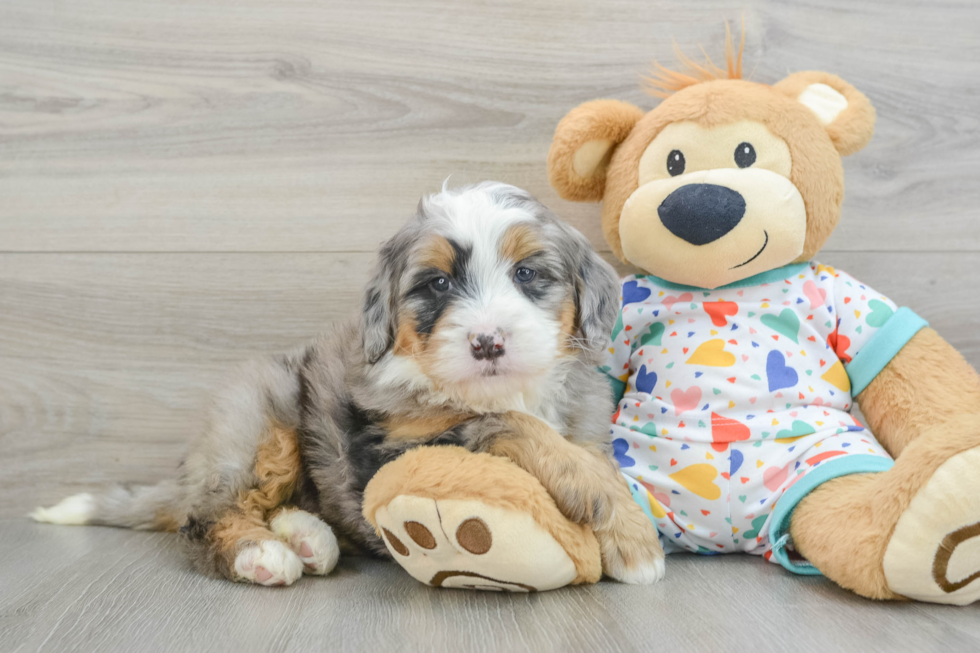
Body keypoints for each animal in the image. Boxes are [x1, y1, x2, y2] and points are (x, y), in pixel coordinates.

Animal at [36, 182, 668, 584]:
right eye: (438, 283)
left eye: (529, 273)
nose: (487, 342)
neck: (491, 389)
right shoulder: (394, 447)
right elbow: (516, 427)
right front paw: (636, 542)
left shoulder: (580, 419)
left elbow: (581, 452)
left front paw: (621, 528)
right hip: (261, 417)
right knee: (209, 515)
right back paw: (262, 554)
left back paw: (307, 537)